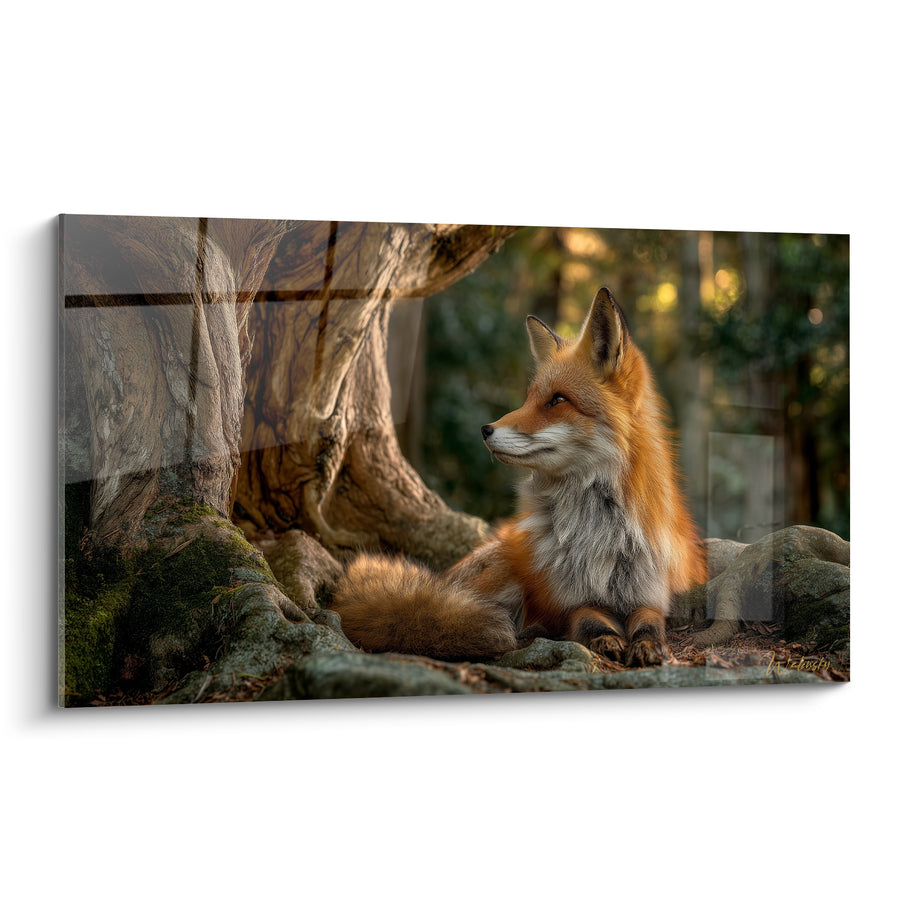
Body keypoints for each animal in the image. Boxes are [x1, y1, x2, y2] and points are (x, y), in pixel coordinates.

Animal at [332, 287, 707, 667]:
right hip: (503, 573)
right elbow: (588, 618)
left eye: (557, 400)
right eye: (529, 399)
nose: (484, 430)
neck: (598, 535)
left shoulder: (651, 592)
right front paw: (604, 637)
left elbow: (649, 621)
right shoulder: (565, 600)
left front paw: (649, 644)